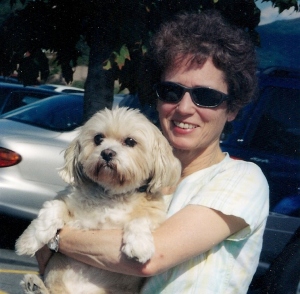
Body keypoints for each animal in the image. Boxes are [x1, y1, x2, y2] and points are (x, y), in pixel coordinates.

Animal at [15, 107, 180, 294]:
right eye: (98, 138)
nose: (107, 153)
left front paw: (140, 245)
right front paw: (29, 241)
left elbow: (140, 220)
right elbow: (53, 210)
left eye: (130, 141)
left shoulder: (154, 213)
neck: (111, 194)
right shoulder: (66, 200)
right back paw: (35, 286)